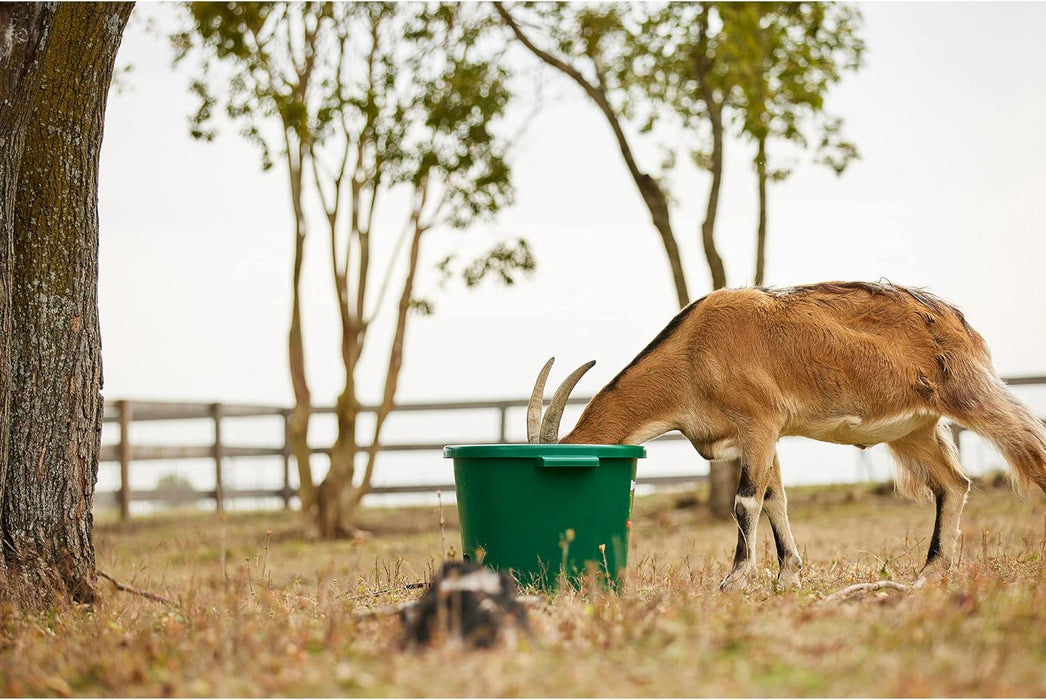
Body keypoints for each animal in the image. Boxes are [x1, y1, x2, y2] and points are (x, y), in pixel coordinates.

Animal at [527, 280, 1046, 585]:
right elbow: (774, 497)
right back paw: (931, 573)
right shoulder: (759, 434)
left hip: (969, 393)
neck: (693, 352)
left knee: (1029, 448)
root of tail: (958, 324)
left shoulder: (758, 421)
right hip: (913, 428)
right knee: (952, 484)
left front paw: (736, 580)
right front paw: (788, 576)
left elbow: (745, 500)